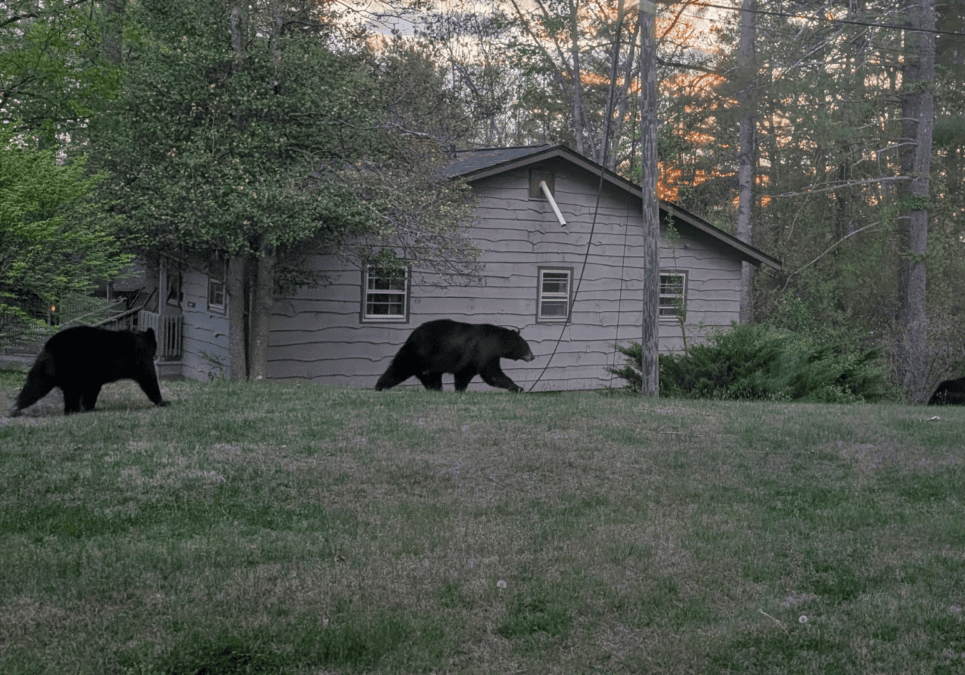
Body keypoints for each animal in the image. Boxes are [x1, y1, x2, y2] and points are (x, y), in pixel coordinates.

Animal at [8, 326, 169, 417]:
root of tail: (49, 347)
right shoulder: (140, 359)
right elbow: (148, 378)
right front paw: (163, 401)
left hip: (46, 370)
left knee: (35, 385)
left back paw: (15, 407)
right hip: (72, 367)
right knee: (71, 391)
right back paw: (72, 410)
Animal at [375, 319, 535, 393]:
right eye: (527, 347)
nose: (533, 357)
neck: (495, 343)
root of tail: (412, 335)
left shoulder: (489, 358)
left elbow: (494, 375)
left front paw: (518, 388)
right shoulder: (478, 353)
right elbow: (465, 373)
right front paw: (460, 390)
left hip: (430, 364)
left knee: (430, 378)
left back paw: (435, 390)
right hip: (419, 354)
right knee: (398, 368)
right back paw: (379, 386)